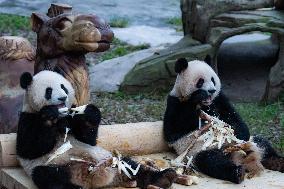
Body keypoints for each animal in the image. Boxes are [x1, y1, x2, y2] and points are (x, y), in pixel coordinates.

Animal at [16, 70, 178, 188]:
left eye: (63, 87)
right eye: (48, 91)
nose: (62, 98)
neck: (61, 117)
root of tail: (92, 177)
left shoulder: (72, 116)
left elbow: (88, 138)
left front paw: (89, 113)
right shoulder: (27, 117)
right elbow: (30, 148)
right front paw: (49, 115)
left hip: (108, 158)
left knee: (131, 165)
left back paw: (164, 177)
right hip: (56, 165)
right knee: (48, 177)